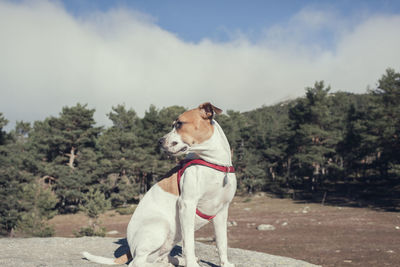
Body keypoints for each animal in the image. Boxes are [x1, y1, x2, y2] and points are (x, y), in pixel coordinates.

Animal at [83, 103, 236, 267]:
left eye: (179, 124)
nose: (159, 141)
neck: (214, 162)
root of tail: (130, 248)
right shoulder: (187, 205)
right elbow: (189, 243)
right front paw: (192, 264)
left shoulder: (222, 210)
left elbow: (222, 242)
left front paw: (225, 263)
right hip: (160, 226)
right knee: (137, 262)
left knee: (162, 257)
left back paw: (175, 261)